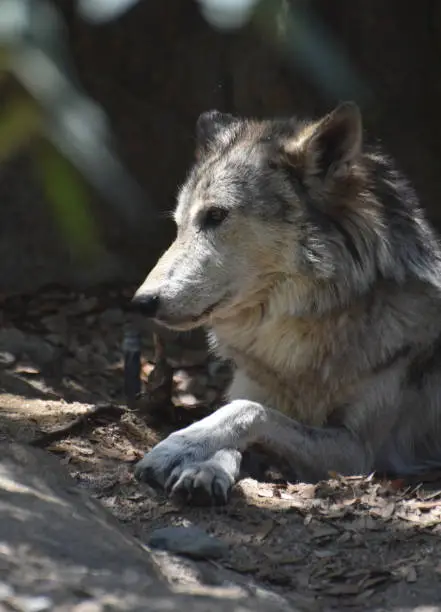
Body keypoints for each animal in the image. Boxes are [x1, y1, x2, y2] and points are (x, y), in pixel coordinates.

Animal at [131, 103, 441, 504]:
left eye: (215, 215)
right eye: (179, 224)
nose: (141, 302)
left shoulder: (360, 451)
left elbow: (246, 412)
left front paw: (179, 446)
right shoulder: (253, 388)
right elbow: (236, 419)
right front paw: (205, 467)